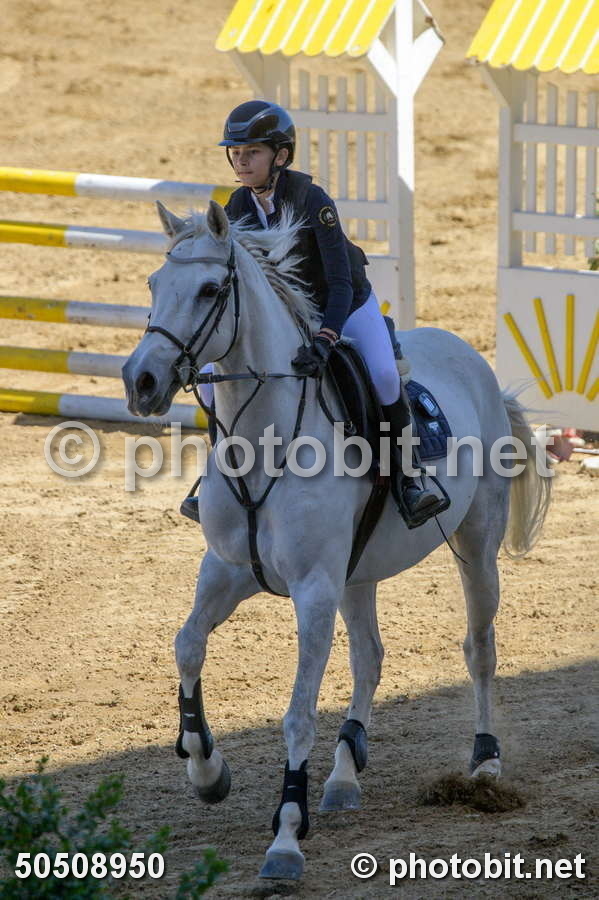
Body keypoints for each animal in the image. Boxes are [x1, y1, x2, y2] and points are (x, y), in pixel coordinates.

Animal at [122, 200, 551, 881]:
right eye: (153, 284)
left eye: (211, 289)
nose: (140, 381)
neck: (264, 441)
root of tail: (469, 353)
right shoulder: (226, 570)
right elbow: (187, 645)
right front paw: (207, 770)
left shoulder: (313, 590)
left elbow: (298, 715)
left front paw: (285, 837)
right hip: (358, 573)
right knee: (369, 656)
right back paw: (345, 773)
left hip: (476, 546)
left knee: (480, 649)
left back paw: (485, 760)